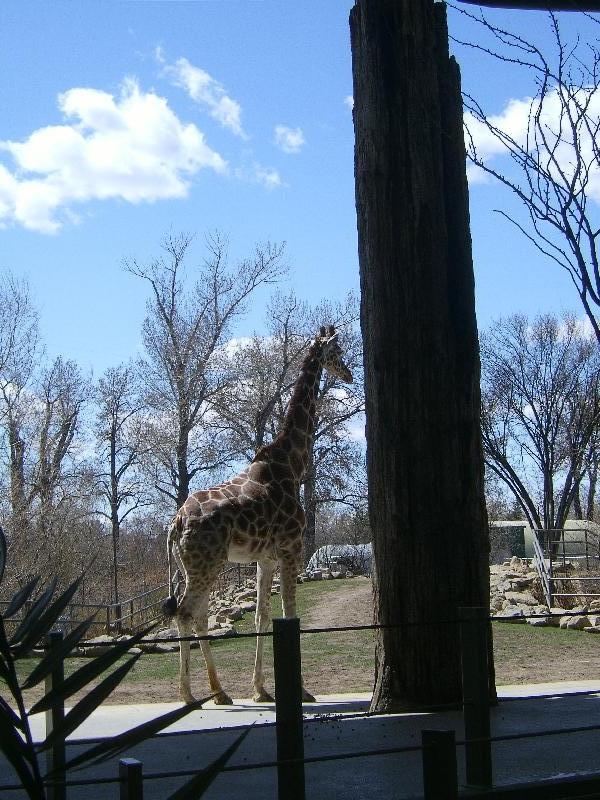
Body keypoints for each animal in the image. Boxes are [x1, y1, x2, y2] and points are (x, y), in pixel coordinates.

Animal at [162, 322, 354, 704]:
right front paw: (302, 691)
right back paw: (189, 695)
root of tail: (176, 523)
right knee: (186, 614)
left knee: (198, 616)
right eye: (338, 352)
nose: (350, 374)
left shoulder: (264, 557)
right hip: (207, 564)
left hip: (194, 567)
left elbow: (262, 617)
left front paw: (261, 690)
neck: (292, 464)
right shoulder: (292, 547)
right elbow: (290, 613)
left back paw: (220, 692)